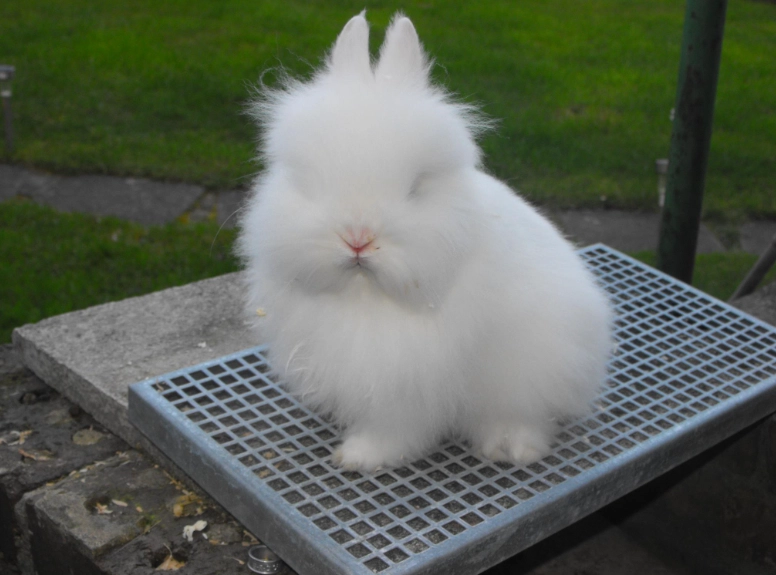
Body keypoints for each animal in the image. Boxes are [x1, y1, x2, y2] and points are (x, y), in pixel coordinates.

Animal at [237, 12, 613, 472]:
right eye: (310, 182)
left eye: (416, 187)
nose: (358, 238)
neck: (366, 297)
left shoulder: (404, 385)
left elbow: (393, 430)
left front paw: (359, 457)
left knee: (524, 415)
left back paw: (511, 448)